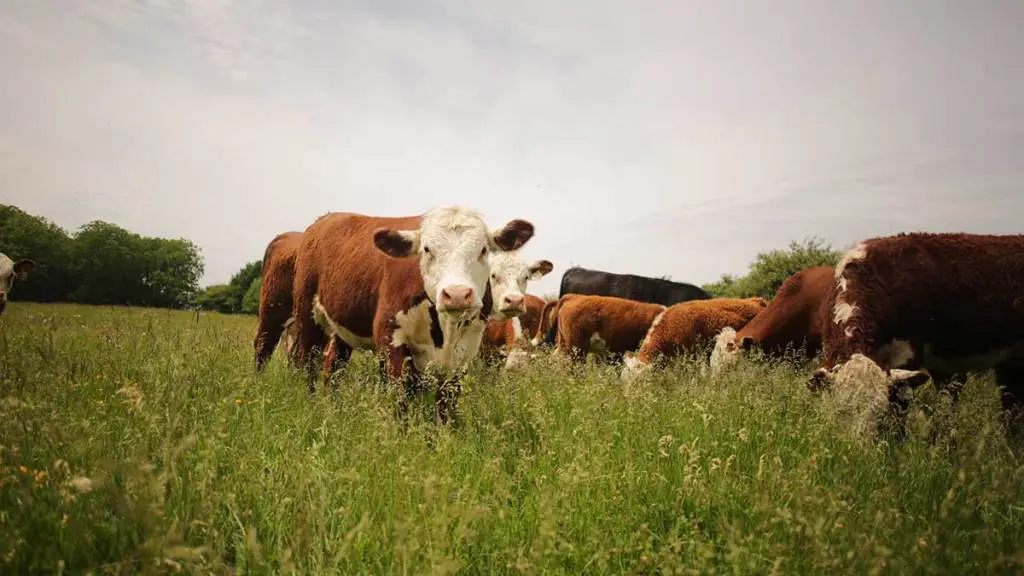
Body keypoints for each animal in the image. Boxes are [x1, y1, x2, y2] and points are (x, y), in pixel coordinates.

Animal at [292, 206, 535, 422]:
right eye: (426, 249)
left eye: (483, 250)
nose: (456, 294)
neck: (445, 332)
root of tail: (325, 219)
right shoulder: (391, 339)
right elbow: (400, 398)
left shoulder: (465, 350)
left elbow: (447, 404)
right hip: (307, 318)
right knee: (306, 363)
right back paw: (310, 403)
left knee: (333, 364)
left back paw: (331, 404)